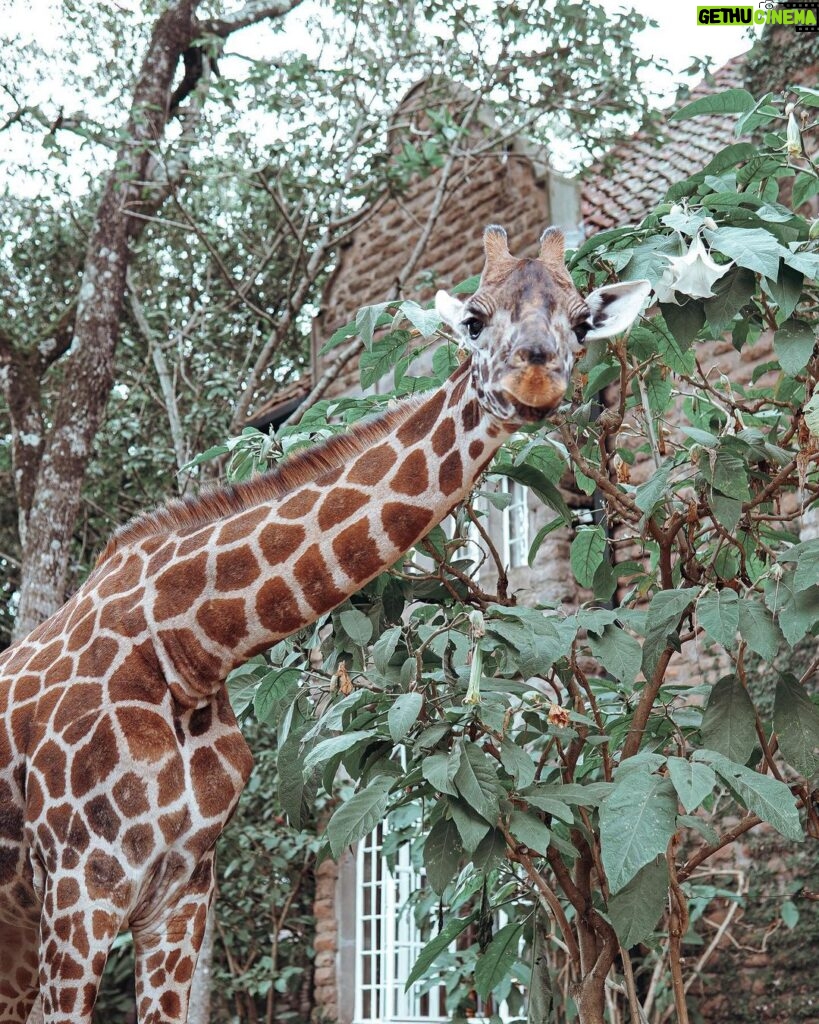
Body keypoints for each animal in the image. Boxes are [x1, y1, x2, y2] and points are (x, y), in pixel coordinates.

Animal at [1, 226, 651, 1024]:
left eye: (582, 322)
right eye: (473, 318)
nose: (535, 376)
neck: (188, 646)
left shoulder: (179, 893)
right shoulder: (80, 885)